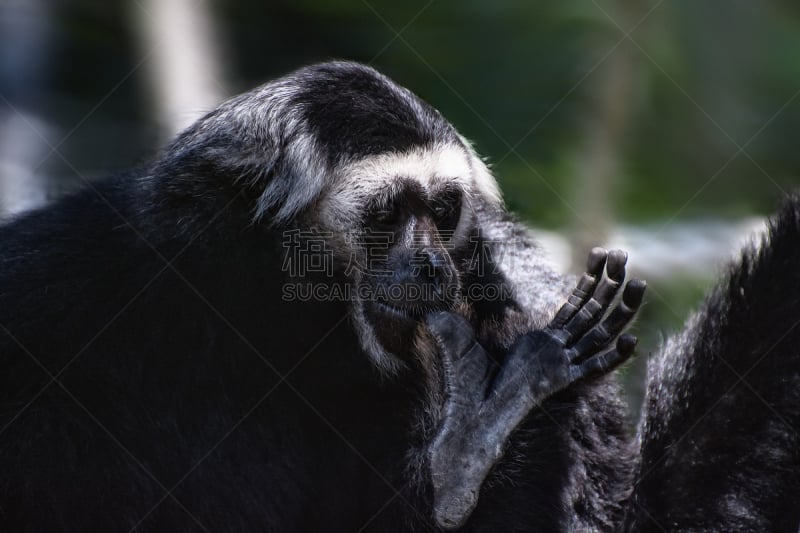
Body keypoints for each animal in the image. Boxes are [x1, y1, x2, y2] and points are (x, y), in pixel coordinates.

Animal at [0, 60, 796, 528]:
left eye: (442, 211)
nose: (435, 265)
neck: (266, 346)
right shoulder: (69, 271)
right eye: (387, 214)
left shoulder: (518, 296)